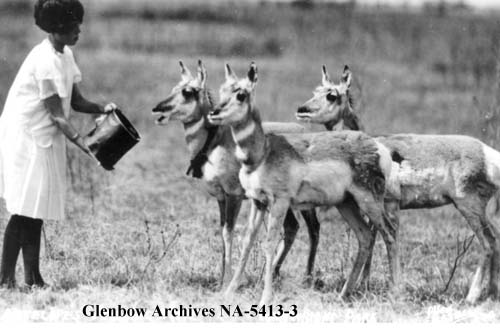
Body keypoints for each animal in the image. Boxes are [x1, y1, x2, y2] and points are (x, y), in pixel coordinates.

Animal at [151, 62, 320, 288]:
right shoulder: (221, 198)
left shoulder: (234, 196)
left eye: (187, 91)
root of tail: (302, 129)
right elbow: (223, 231)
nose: (158, 109)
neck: (217, 142)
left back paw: (306, 278)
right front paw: (221, 279)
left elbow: (229, 232)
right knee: (292, 226)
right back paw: (273, 274)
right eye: (174, 88)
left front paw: (227, 281)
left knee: (313, 228)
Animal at [208, 62, 398, 304]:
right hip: (346, 203)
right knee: (365, 235)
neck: (263, 153)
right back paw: (344, 294)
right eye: (222, 90)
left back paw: (395, 291)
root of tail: (376, 145)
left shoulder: (279, 202)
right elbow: (247, 241)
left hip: (369, 201)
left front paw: (265, 297)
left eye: (241, 94)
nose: (213, 112)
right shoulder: (257, 203)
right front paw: (229, 292)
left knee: (389, 233)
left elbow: (269, 243)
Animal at [296, 65, 500, 304]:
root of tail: (487, 151)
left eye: (332, 95)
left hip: (468, 206)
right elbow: (374, 237)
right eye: (316, 90)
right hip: (482, 210)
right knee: (496, 239)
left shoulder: (389, 205)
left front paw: (385, 288)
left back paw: (471, 297)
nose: (302, 109)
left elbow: (383, 237)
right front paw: (365, 285)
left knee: (488, 243)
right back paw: (492, 293)